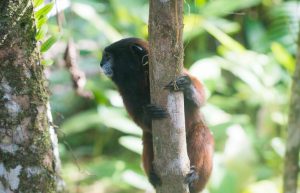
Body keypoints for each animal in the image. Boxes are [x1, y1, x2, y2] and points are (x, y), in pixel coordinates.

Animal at [100, 37, 213, 193]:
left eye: (108, 57)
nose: (100, 64)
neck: (139, 78)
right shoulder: (125, 91)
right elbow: (138, 119)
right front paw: (148, 114)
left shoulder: (179, 71)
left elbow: (201, 94)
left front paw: (187, 86)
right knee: (148, 137)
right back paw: (153, 176)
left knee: (202, 131)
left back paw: (194, 177)